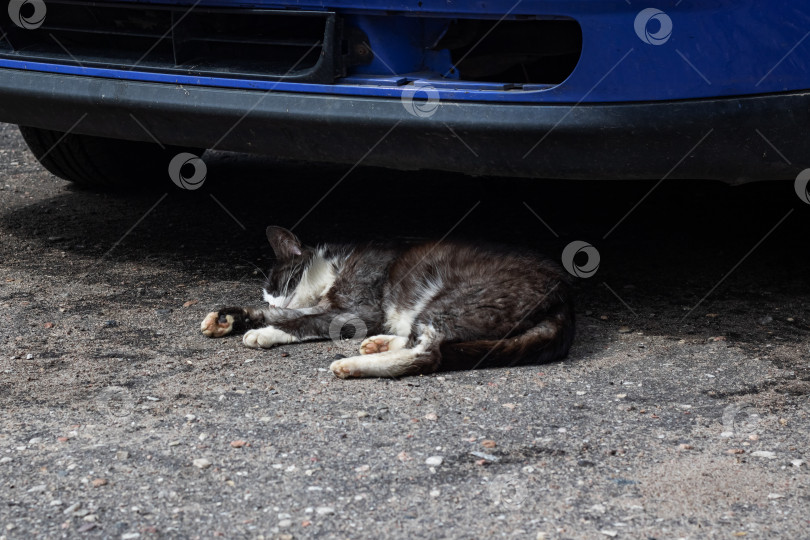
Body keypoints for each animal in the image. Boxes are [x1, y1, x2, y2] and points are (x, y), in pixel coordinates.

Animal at [199, 226, 572, 378]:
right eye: (267, 294)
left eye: (280, 284)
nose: (275, 300)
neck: (332, 271)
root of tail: (564, 295)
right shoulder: (330, 306)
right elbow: (289, 315)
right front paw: (228, 318)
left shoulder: (357, 310)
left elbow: (301, 321)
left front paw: (264, 332)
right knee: (420, 338)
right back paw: (379, 345)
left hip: (453, 299)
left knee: (429, 353)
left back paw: (353, 365)